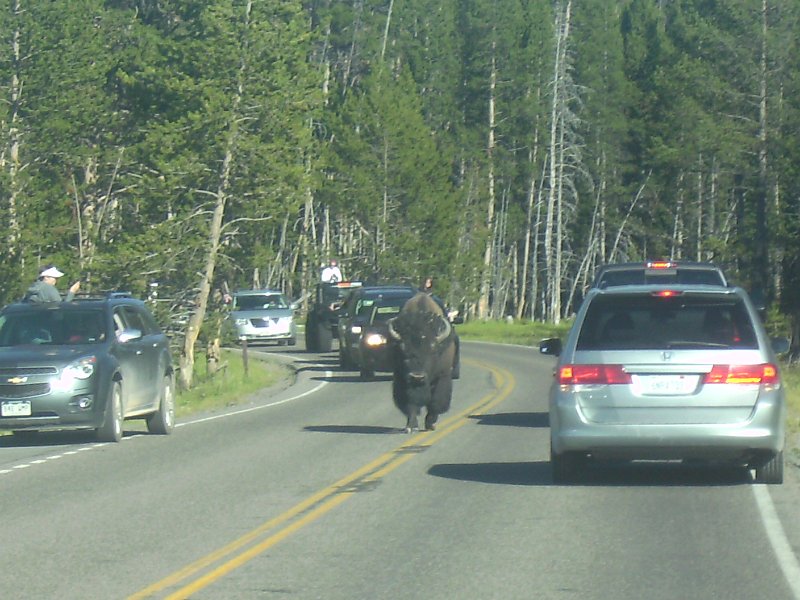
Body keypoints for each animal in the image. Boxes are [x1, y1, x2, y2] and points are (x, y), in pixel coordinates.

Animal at [388, 292, 456, 434]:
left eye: (432, 350)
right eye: (403, 349)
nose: (417, 376)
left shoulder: (443, 376)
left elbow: (436, 402)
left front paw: (430, 424)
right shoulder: (402, 379)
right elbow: (410, 403)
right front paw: (411, 426)